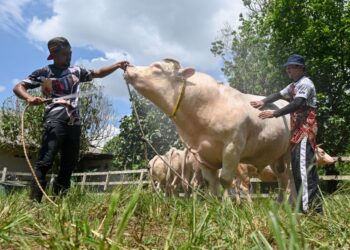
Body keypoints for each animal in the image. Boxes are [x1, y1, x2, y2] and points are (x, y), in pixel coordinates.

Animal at [126, 59, 292, 201]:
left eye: (157, 67)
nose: (127, 66)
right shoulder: (203, 156)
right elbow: (212, 184)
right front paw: (214, 207)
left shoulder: (232, 147)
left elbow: (225, 181)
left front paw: (228, 207)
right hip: (275, 156)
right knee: (283, 180)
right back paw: (280, 205)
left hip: (289, 153)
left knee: (289, 180)